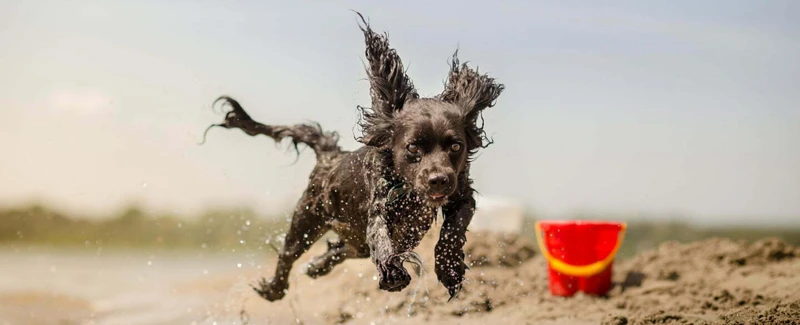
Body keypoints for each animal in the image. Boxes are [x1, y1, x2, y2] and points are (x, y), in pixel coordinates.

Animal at [203, 12, 504, 302]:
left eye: (455, 147)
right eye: (413, 148)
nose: (439, 180)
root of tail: (330, 156)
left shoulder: (461, 192)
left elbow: (455, 227)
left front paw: (449, 268)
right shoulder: (379, 204)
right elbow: (381, 236)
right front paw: (393, 272)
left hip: (346, 234)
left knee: (345, 247)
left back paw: (318, 266)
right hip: (308, 217)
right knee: (289, 254)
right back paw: (274, 289)